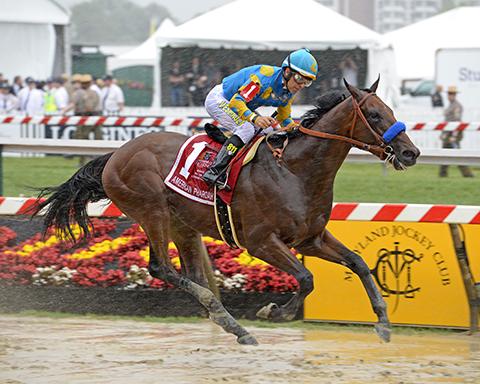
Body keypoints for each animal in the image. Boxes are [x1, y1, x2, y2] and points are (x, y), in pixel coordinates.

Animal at [31, 79, 420, 344]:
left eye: (392, 111)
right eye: (374, 114)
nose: (410, 153)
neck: (296, 171)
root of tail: (116, 154)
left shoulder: (311, 238)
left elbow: (358, 263)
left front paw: (383, 323)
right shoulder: (261, 242)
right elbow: (307, 278)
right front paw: (275, 311)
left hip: (183, 224)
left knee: (190, 273)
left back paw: (229, 322)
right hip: (152, 211)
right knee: (161, 267)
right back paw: (228, 318)